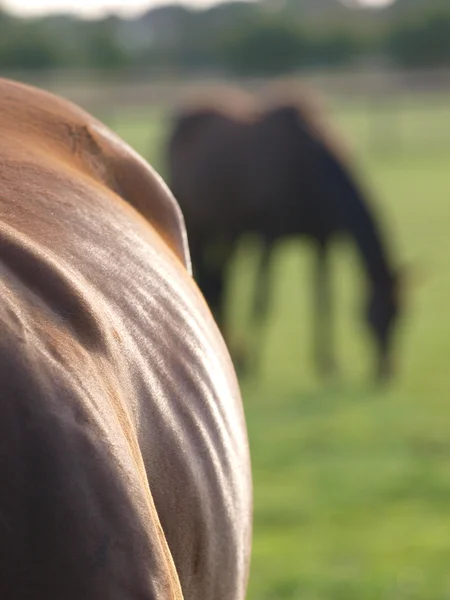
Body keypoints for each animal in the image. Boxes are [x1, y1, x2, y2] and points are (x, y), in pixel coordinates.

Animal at [167, 85, 406, 380]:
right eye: (376, 313)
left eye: (401, 314)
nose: (386, 370)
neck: (309, 168)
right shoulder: (268, 239)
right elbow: (262, 300)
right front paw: (253, 362)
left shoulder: (321, 242)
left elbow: (324, 299)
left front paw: (327, 362)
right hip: (198, 226)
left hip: (224, 232)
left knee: (219, 284)